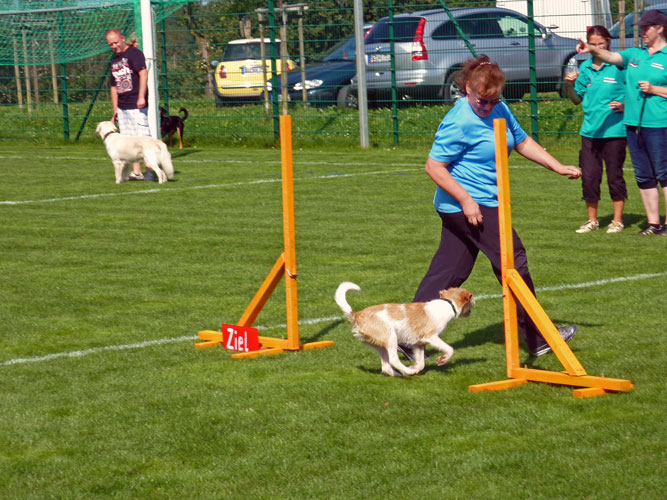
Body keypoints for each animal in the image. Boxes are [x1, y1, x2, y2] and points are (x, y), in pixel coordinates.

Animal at [335, 282, 475, 376]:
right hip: (391, 337)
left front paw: (415, 367)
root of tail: (356, 315)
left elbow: (421, 363)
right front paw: (443, 359)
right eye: (471, 299)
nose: (474, 305)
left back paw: (403, 373)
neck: (448, 304)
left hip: (381, 345)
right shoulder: (431, 337)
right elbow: (449, 349)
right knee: (393, 360)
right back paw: (407, 371)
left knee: (386, 367)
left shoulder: (419, 343)